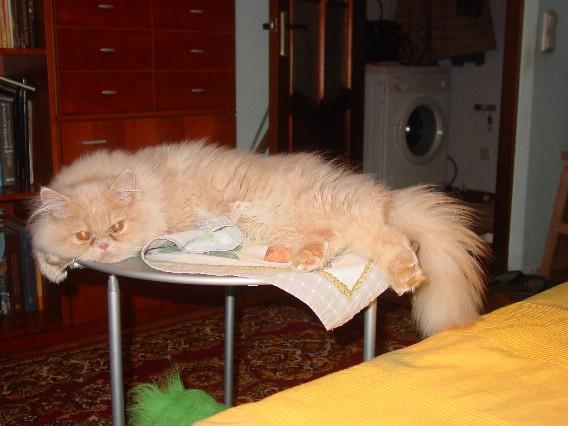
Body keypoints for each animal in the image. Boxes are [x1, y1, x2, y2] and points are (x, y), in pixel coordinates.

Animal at [29, 141, 488, 336]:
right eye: (83, 234)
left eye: (117, 227)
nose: (102, 246)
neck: (148, 188)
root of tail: (385, 195)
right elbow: (42, 248)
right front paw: (54, 269)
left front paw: (55, 270)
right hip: (299, 224)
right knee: (342, 239)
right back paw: (308, 258)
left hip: (330, 208)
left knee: (385, 235)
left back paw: (407, 275)